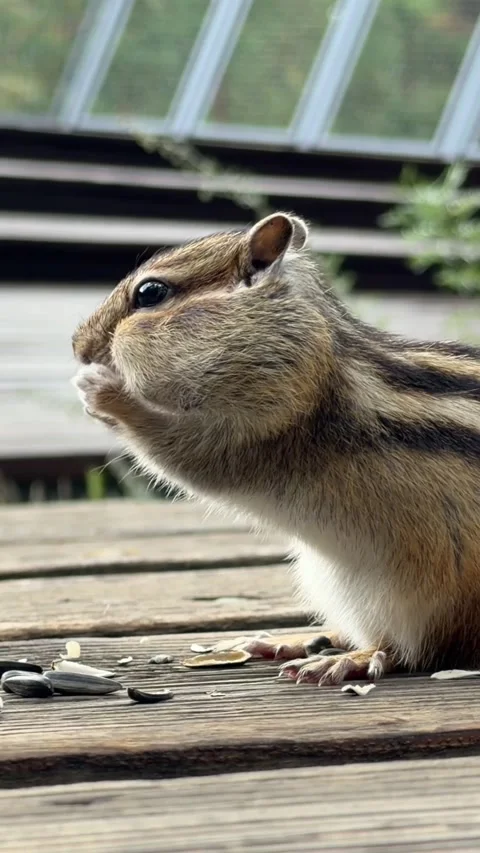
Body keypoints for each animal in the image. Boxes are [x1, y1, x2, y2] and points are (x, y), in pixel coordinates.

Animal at [72, 212, 480, 686]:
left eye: (150, 293)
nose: (78, 345)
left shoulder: (268, 422)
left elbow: (184, 453)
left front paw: (103, 391)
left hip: (413, 598)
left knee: (411, 650)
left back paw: (348, 658)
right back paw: (299, 640)